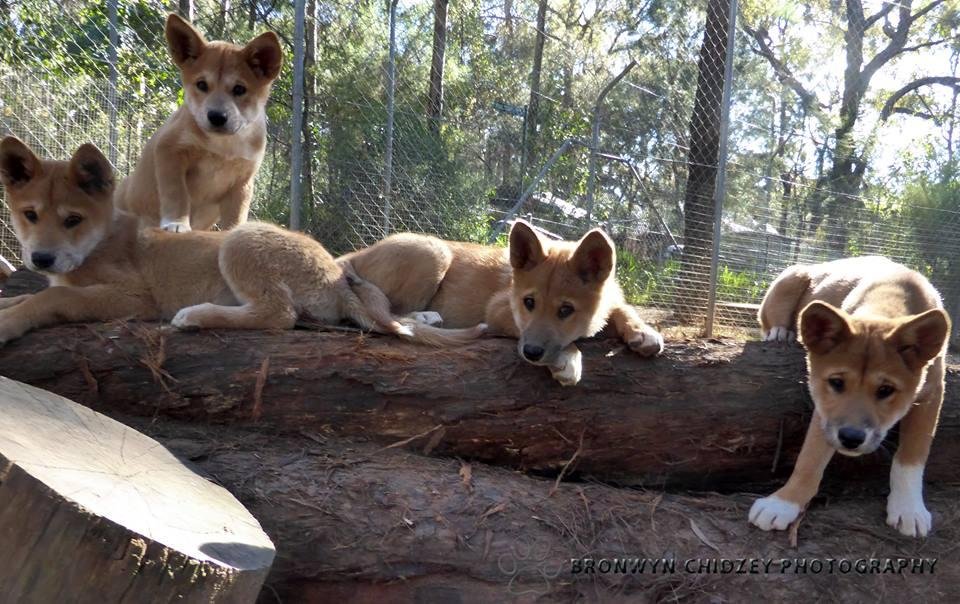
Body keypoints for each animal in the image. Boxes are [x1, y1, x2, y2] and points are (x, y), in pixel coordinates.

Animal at [0, 135, 484, 346]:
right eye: (29, 215)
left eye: (73, 219)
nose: (41, 259)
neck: (100, 242)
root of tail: (334, 274)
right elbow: (24, 295)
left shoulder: (132, 297)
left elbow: (50, 299)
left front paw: (12, 322)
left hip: (240, 240)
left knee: (279, 314)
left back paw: (195, 316)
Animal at [113, 14, 284, 231]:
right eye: (202, 85)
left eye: (239, 89)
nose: (217, 116)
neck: (223, 146)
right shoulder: (170, 150)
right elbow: (177, 194)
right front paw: (176, 223)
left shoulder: (243, 179)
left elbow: (236, 215)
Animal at [342, 219, 664, 384]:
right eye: (528, 302)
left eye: (566, 310)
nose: (532, 353)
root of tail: (355, 254)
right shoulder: (498, 310)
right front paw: (568, 358)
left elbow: (622, 309)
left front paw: (643, 331)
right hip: (433, 251)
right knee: (390, 314)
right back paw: (425, 318)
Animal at [752, 258, 948, 536]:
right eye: (837, 383)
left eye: (886, 390)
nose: (851, 439)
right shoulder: (825, 411)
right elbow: (809, 458)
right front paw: (783, 503)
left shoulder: (932, 393)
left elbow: (912, 456)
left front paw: (908, 508)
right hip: (790, 279)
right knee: (771, 321)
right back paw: (781, 332)